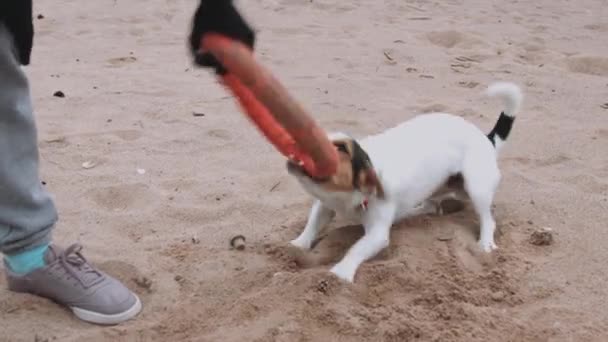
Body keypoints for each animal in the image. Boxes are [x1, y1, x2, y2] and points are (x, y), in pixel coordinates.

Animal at [284, 81, 524, 282]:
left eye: (341, 148)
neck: (345, 197)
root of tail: (487, 138)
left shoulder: (377, 234)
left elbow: (356, 249)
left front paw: (340, 273)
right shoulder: (324, 204)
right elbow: (312, 225)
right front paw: (297, 245)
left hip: (476, 188)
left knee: (487, 220)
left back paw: (485, 242)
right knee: (431, 207)